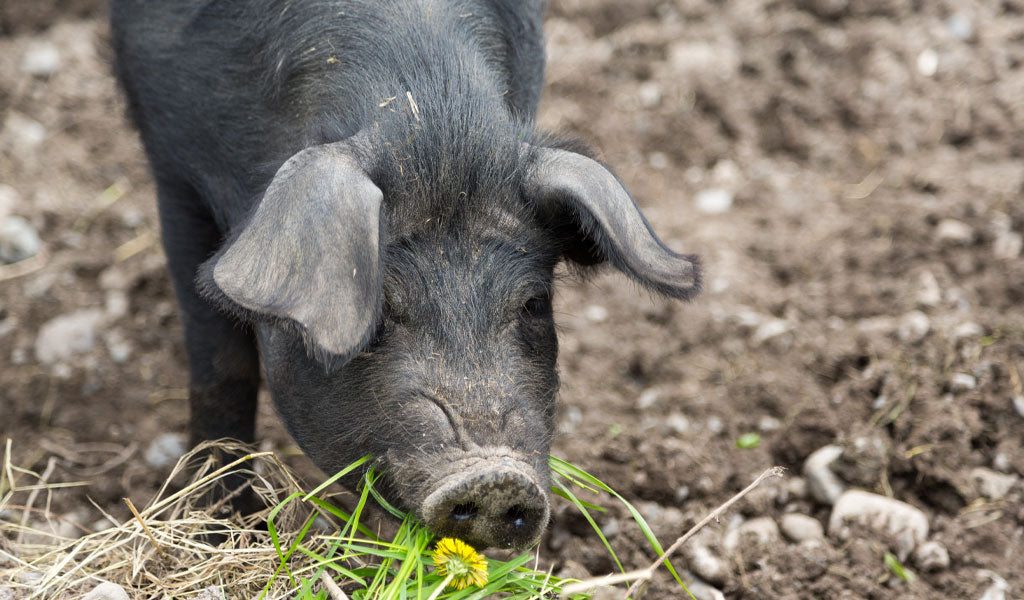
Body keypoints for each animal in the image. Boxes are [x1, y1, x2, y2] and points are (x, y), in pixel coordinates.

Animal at [110, 0, 700, 549]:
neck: (428, 110)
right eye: (378, 312)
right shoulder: (173, 162)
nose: (496, 477)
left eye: (534, 303)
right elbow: (221, 364)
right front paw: (221, 528)